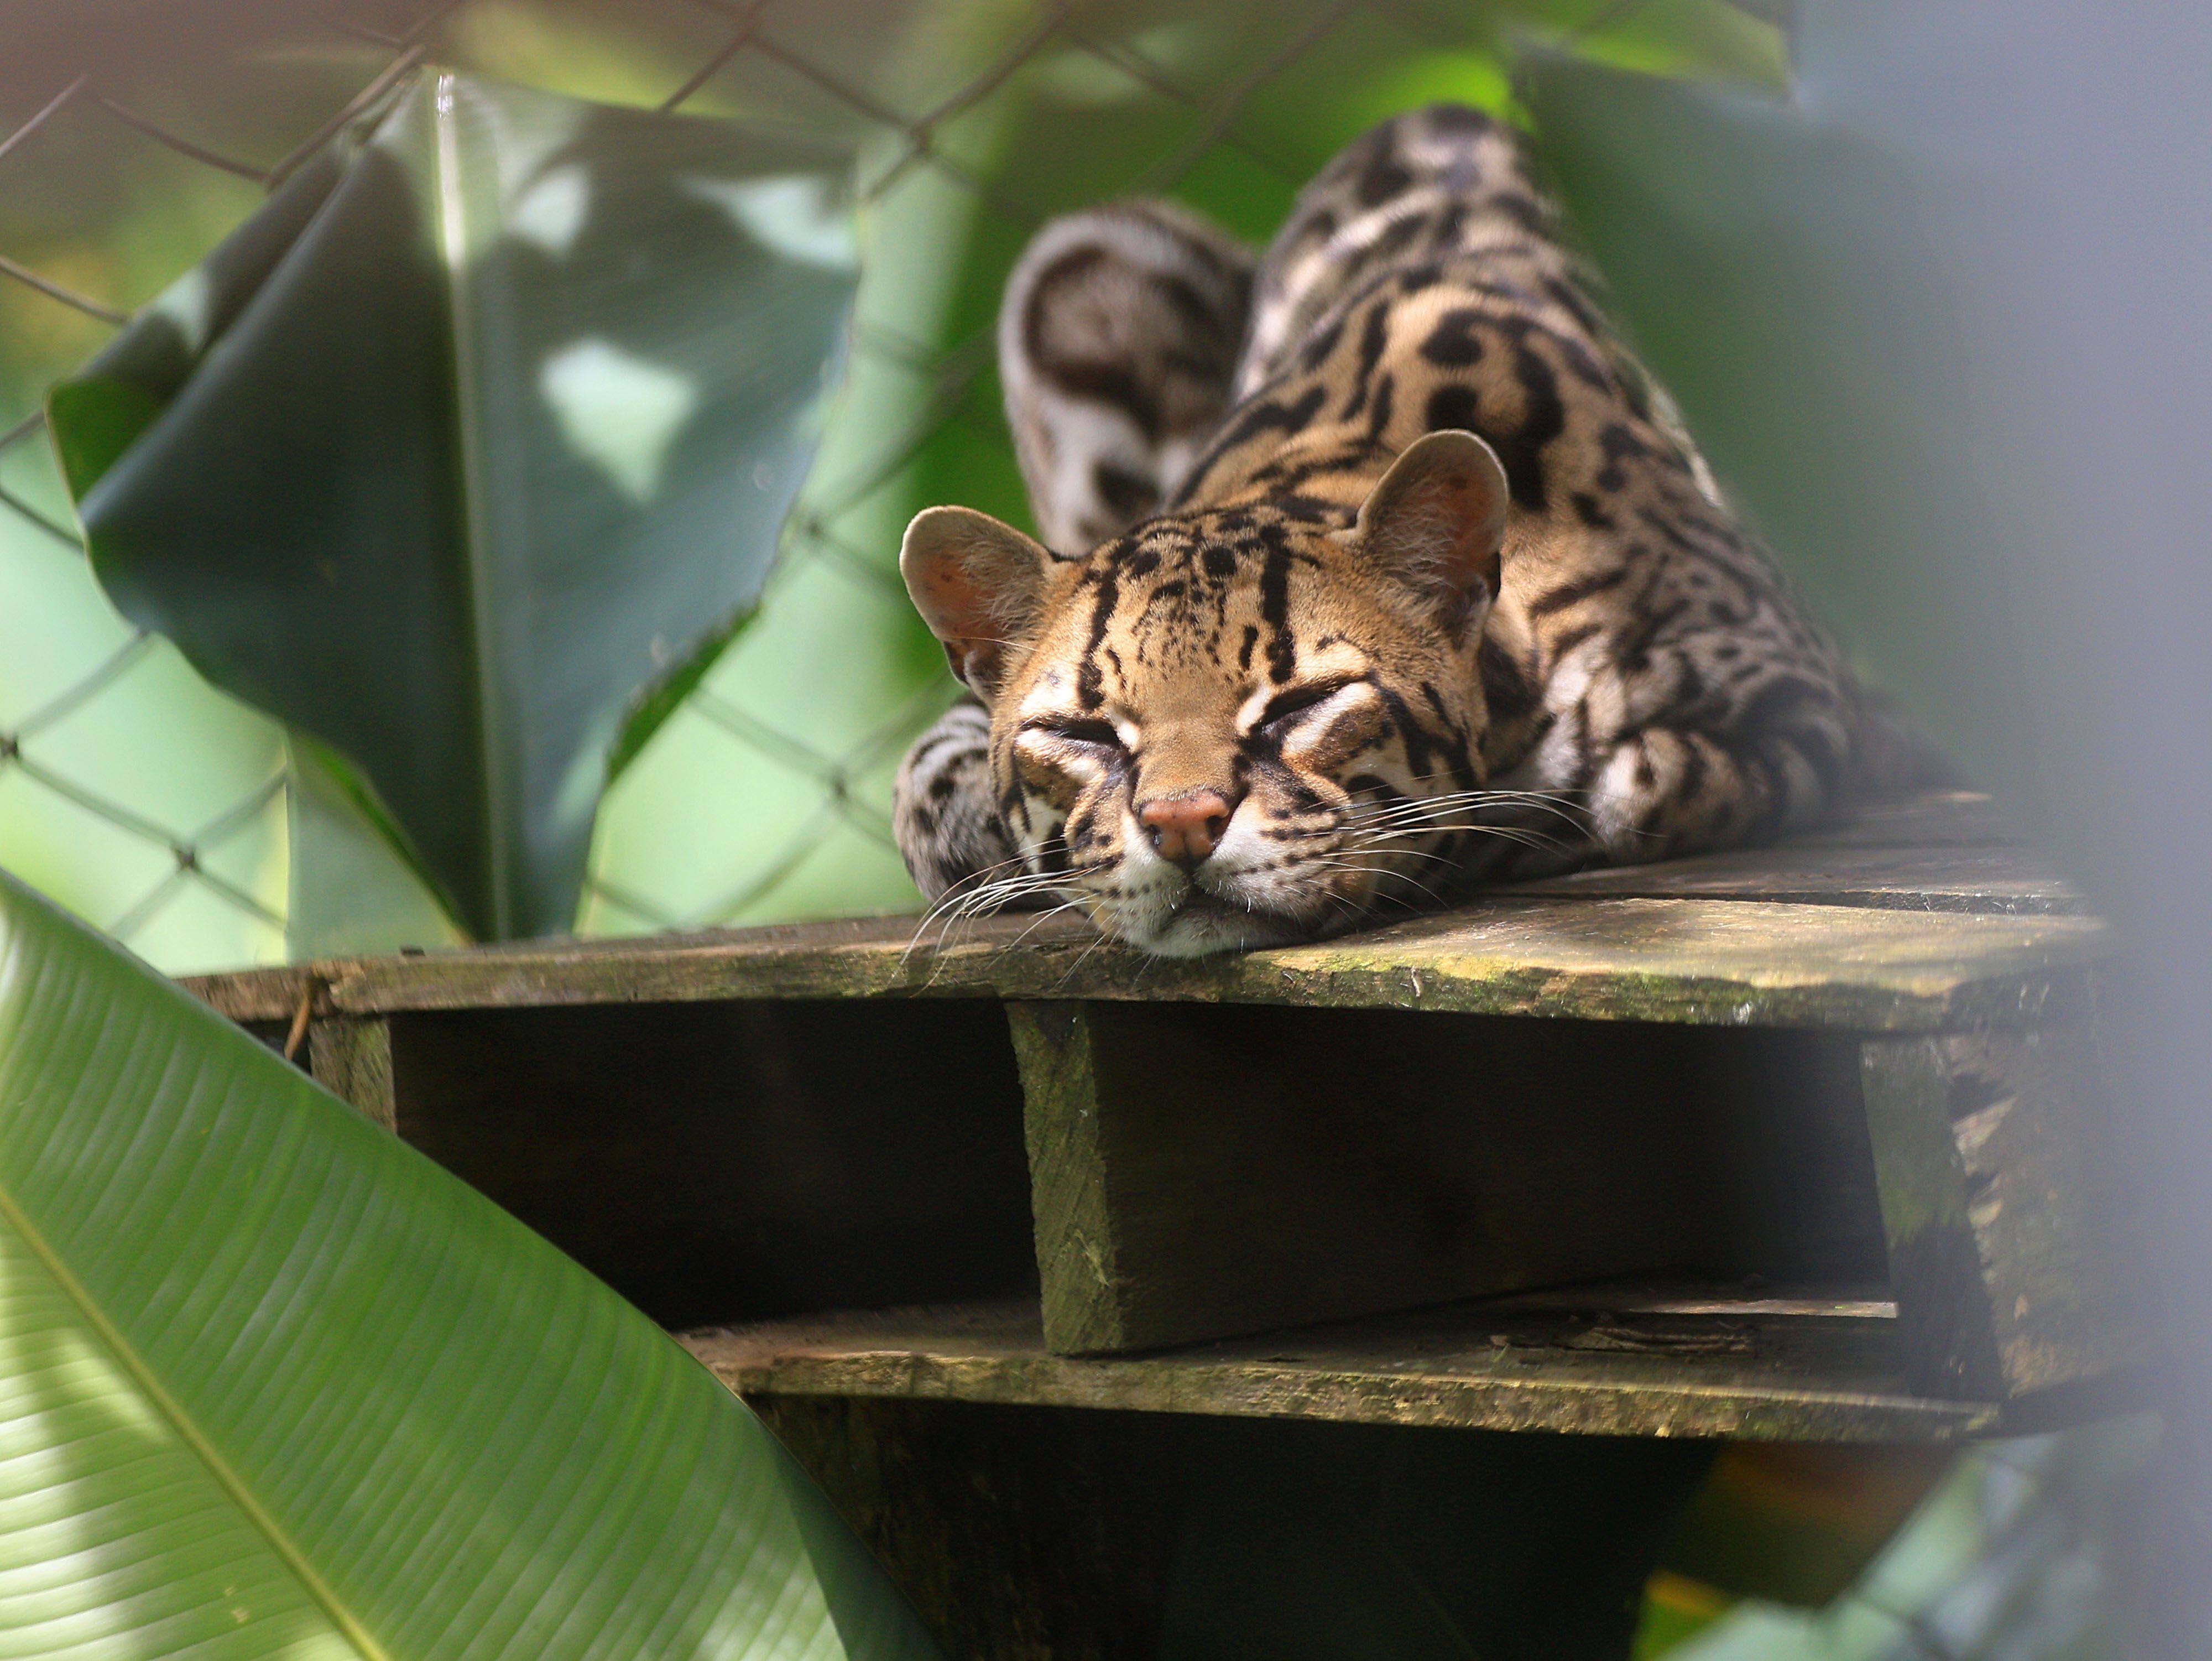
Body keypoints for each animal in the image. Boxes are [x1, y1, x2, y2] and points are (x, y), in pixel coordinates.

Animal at [894, 107, 1920, 960]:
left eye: (1302, 705)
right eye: (1082, 732)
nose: (1183, 824)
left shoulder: (1796, 695)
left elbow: (1621, 790)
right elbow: (927, 772)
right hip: (1077, 266)